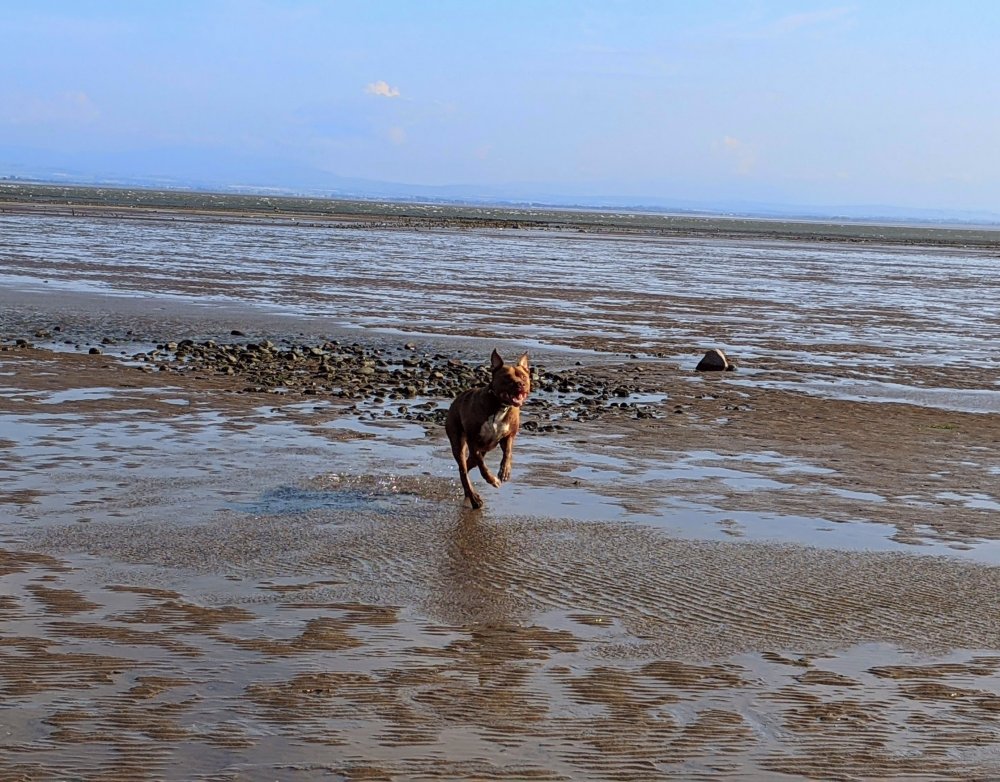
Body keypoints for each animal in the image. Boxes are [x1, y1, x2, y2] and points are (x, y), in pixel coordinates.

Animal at [445, 349, 531, 509]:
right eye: (506, 377)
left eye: (523, 376)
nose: (520, 384)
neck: (499, 406)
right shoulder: (473, 440)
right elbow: (482, 465)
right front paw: (492, 479)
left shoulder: (509, 435)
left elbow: (508, 452)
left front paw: (505, 471)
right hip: (457, 440)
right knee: (463, 469)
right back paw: (474, 499)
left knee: (467, 466)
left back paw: (470, 495)